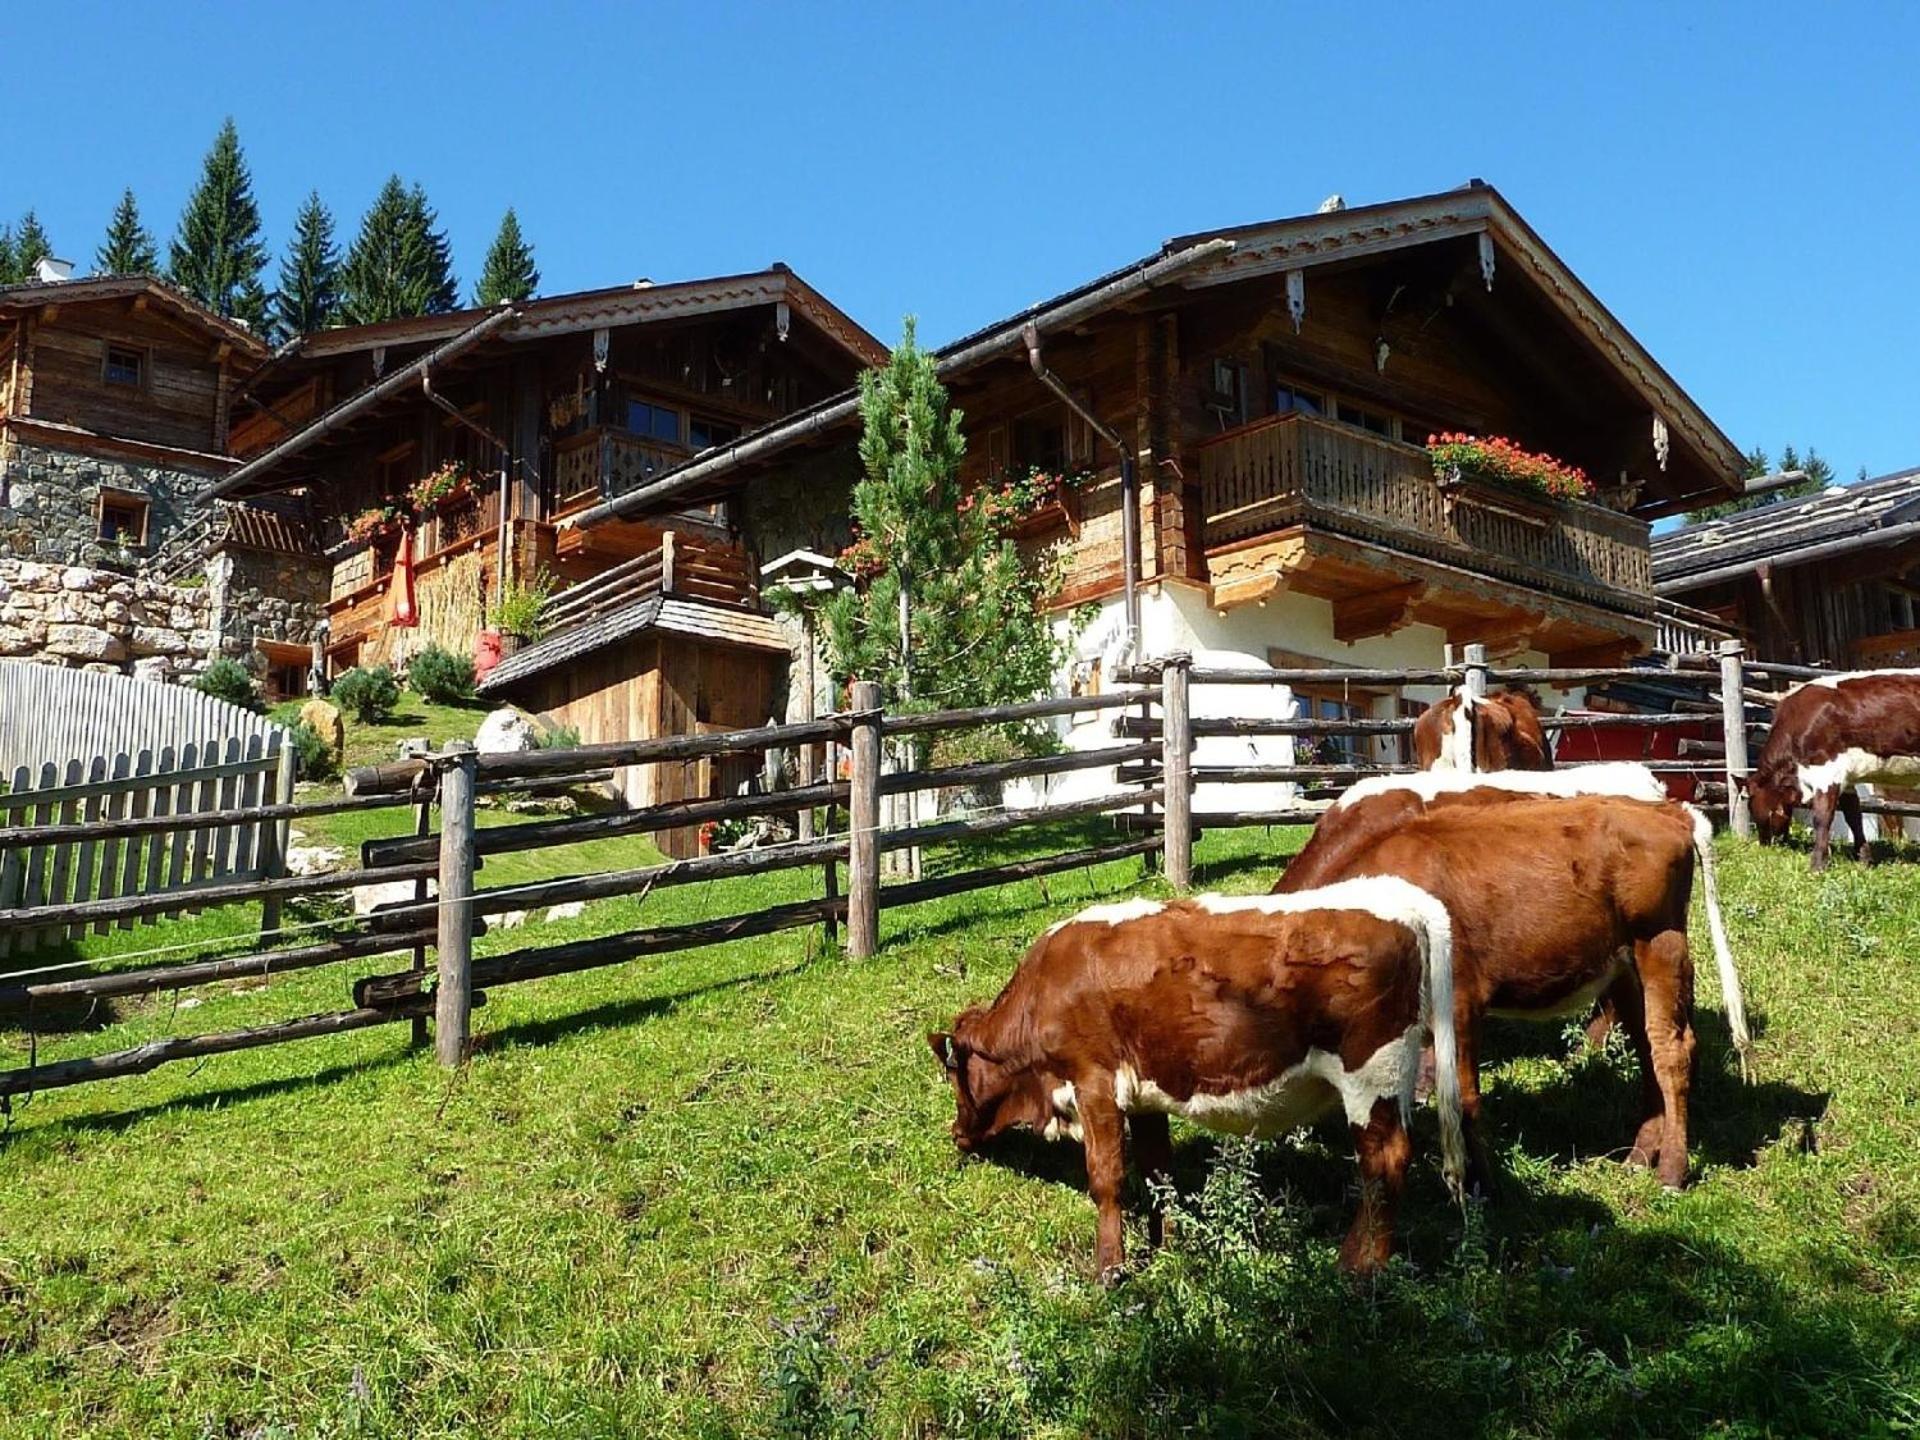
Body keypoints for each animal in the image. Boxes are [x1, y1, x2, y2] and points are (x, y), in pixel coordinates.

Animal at [929, 879, 1466, 1282]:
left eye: (954, 1075)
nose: (956, 1134)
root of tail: (1399, 895)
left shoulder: (1093, 1082)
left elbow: (1106, 1179)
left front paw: (1109, 1271)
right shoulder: (1143, 1098)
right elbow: (1158, 1175)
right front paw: (1164, 1248)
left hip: (1371, 1076)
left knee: (1384, 1164)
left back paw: (1357, 1268)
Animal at [1282, 779, 1751, 1198]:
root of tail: (1668, 810)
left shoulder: (1460, 1001)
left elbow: (1464, 1098)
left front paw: (1483, 1186)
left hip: (1660, 941)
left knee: (1672, 1050)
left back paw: (1672, 1169)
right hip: (1625, 965)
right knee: (1647, 1044)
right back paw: (1638, 1155)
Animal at [1751, 672, 1920, 875]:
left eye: (1760, 813)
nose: (1765, 846)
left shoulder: (1826, 771)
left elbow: (1822, 818)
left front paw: (1817, 866)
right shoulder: (1847, 777)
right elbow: (1853, 816)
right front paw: (1864, 860)